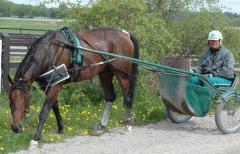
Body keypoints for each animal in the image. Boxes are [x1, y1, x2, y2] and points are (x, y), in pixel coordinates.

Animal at [7, 27, 139, 141]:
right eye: (10, 99)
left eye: (26, 99)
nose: (15, 127)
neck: (50, 51)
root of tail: (125, 34)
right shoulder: (48, 85)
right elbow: (55, 106)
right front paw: (61, 128)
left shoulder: (56, 85)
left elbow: (45, 111)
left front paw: (37, 136)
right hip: (105, 73)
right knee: (110, 96)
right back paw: (101, 125)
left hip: (122, 74)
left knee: (128, 97)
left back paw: (128, 125)